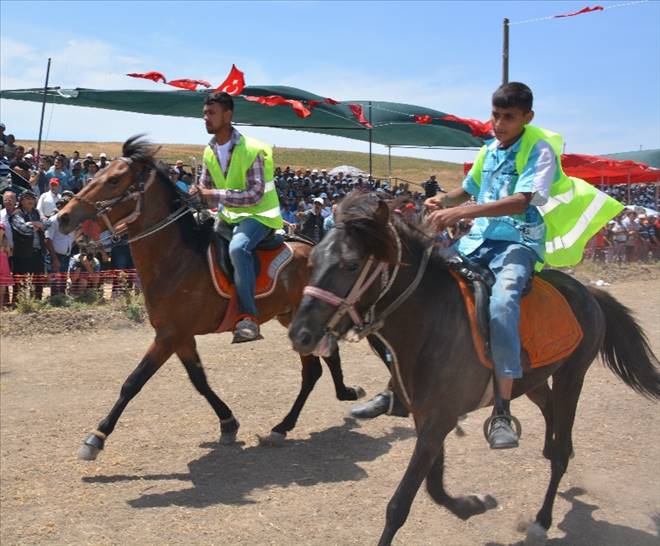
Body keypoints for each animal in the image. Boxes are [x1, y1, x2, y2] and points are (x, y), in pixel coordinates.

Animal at [58, 136, 364, 460]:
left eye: (114, 180)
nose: (63, 217)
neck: (176, 259)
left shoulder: (169, 335)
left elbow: (133, 382)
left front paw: (97, 436)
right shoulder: (179, 336)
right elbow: (200, 381)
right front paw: (228, 422)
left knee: (314, 369)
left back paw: (290, 421)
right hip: (291, 316)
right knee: (319, 364)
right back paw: (324, 403)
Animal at [290, 191, 660, 544]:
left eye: (351, 265)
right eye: (312, 259)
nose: (300, 334)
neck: (433, 322)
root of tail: (590, 294)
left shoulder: (438, 421)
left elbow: (400, 504)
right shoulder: (427, 418)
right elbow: (435, 486)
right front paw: (472, 505)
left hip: (572, 377)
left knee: (562, 452)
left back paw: (542, 519)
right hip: (534, 380)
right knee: (550, 417)